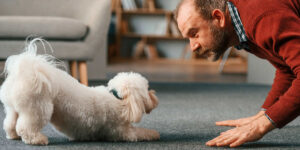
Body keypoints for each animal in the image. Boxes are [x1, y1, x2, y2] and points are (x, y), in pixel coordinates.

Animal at [0, 39, 159, 145]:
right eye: (147, 90)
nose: (155, 97)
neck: (117, 97)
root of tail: (27, 71)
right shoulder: (122, 132)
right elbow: (140, 132)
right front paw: (154, 133)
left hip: (13, 107)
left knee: (10, 122)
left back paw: (13, 135)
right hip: (38, 108)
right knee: (25, 127)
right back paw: (37, 139)